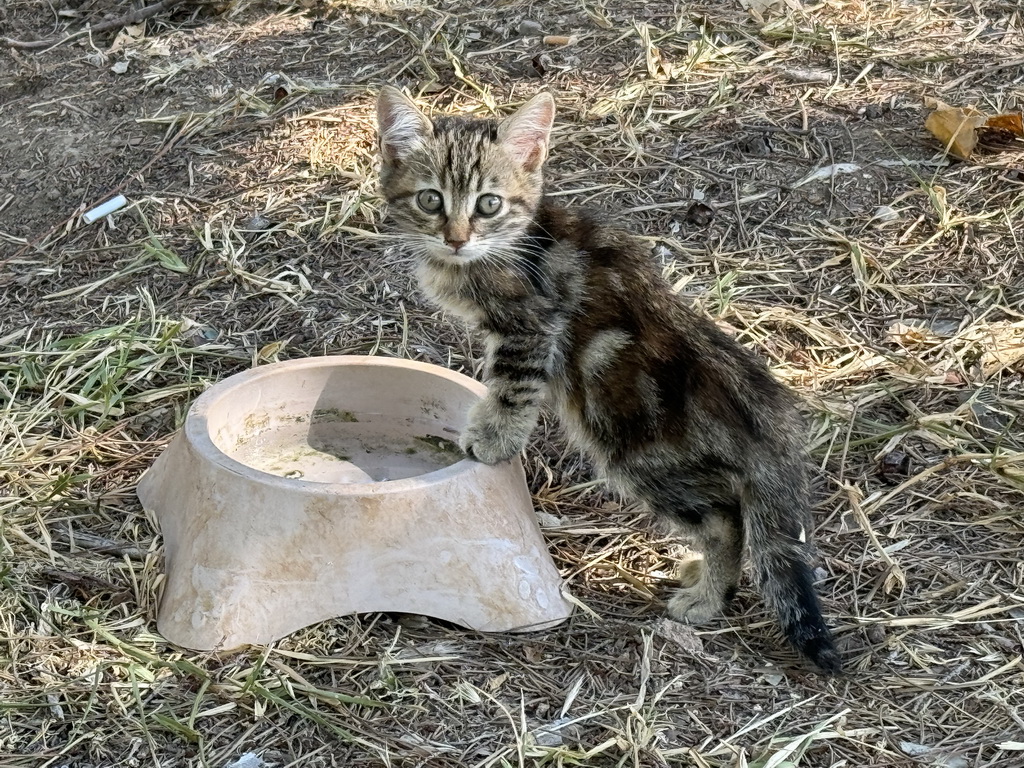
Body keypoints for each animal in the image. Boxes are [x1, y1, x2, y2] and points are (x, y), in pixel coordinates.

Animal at [374, 85, 839, 671]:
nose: (456, 238)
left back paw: (706, 600)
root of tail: (768, 410)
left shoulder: (531, 326)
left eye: (488, 203)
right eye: (430, 200)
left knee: (725, 520)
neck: (505, 244)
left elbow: (512, 385)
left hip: (636, 452)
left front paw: (493, 437)